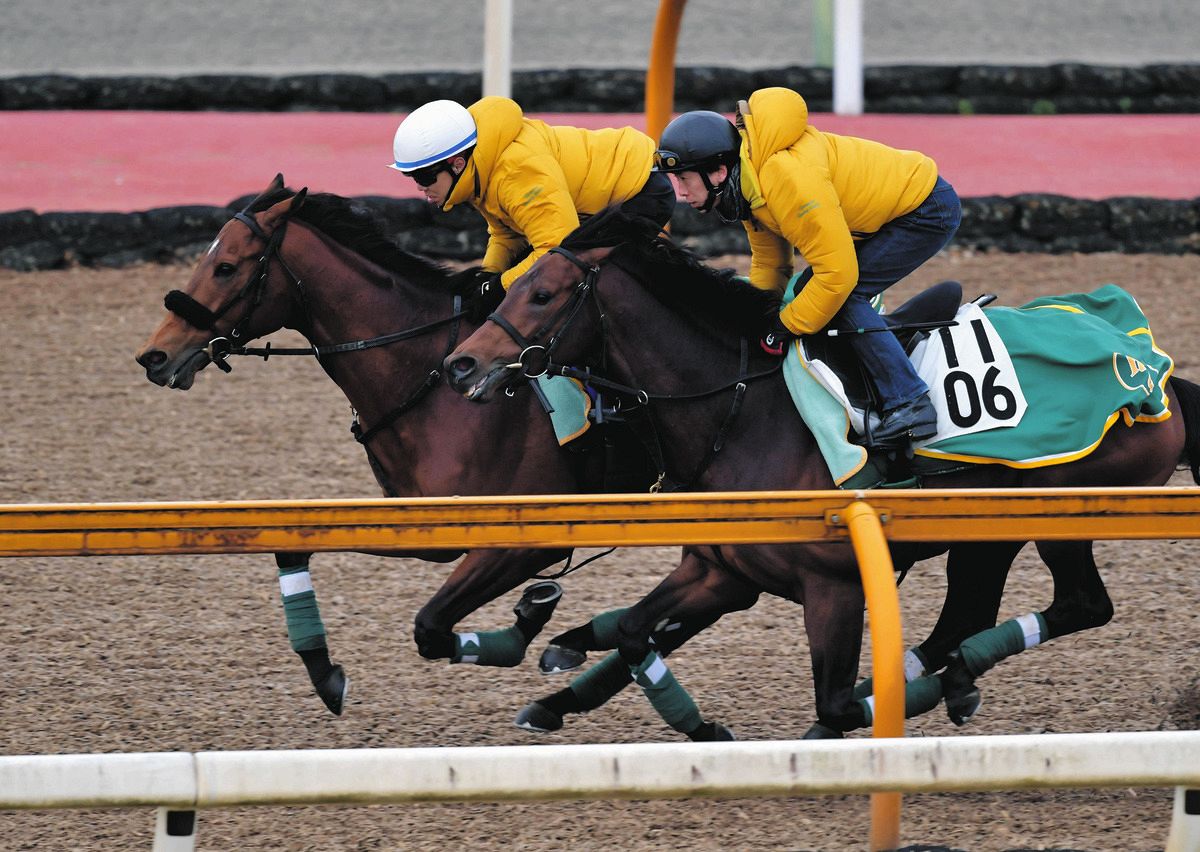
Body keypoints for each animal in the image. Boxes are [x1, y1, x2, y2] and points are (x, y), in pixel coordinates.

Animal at [137, 180, 686, 729]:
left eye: (226, 266)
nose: (153, 356)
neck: (430, 379)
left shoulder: (528, 541)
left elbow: (434, 627)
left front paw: (531, 619)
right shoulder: (423, 526)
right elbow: (294, 548)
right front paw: (325, 673)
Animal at [444, 208, 1200, 739]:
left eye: (543, 294)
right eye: (512, 285)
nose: (461, 364)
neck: (742, 410)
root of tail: (1147, 368)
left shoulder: (833, 584)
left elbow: (833, 702)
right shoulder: (719, 569)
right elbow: (635, 630)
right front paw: (697, 726)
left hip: (1062, 510)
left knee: (1080, 605)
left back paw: (943, 679)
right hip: (986, 532)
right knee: (967, 616)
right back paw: (946, 679)